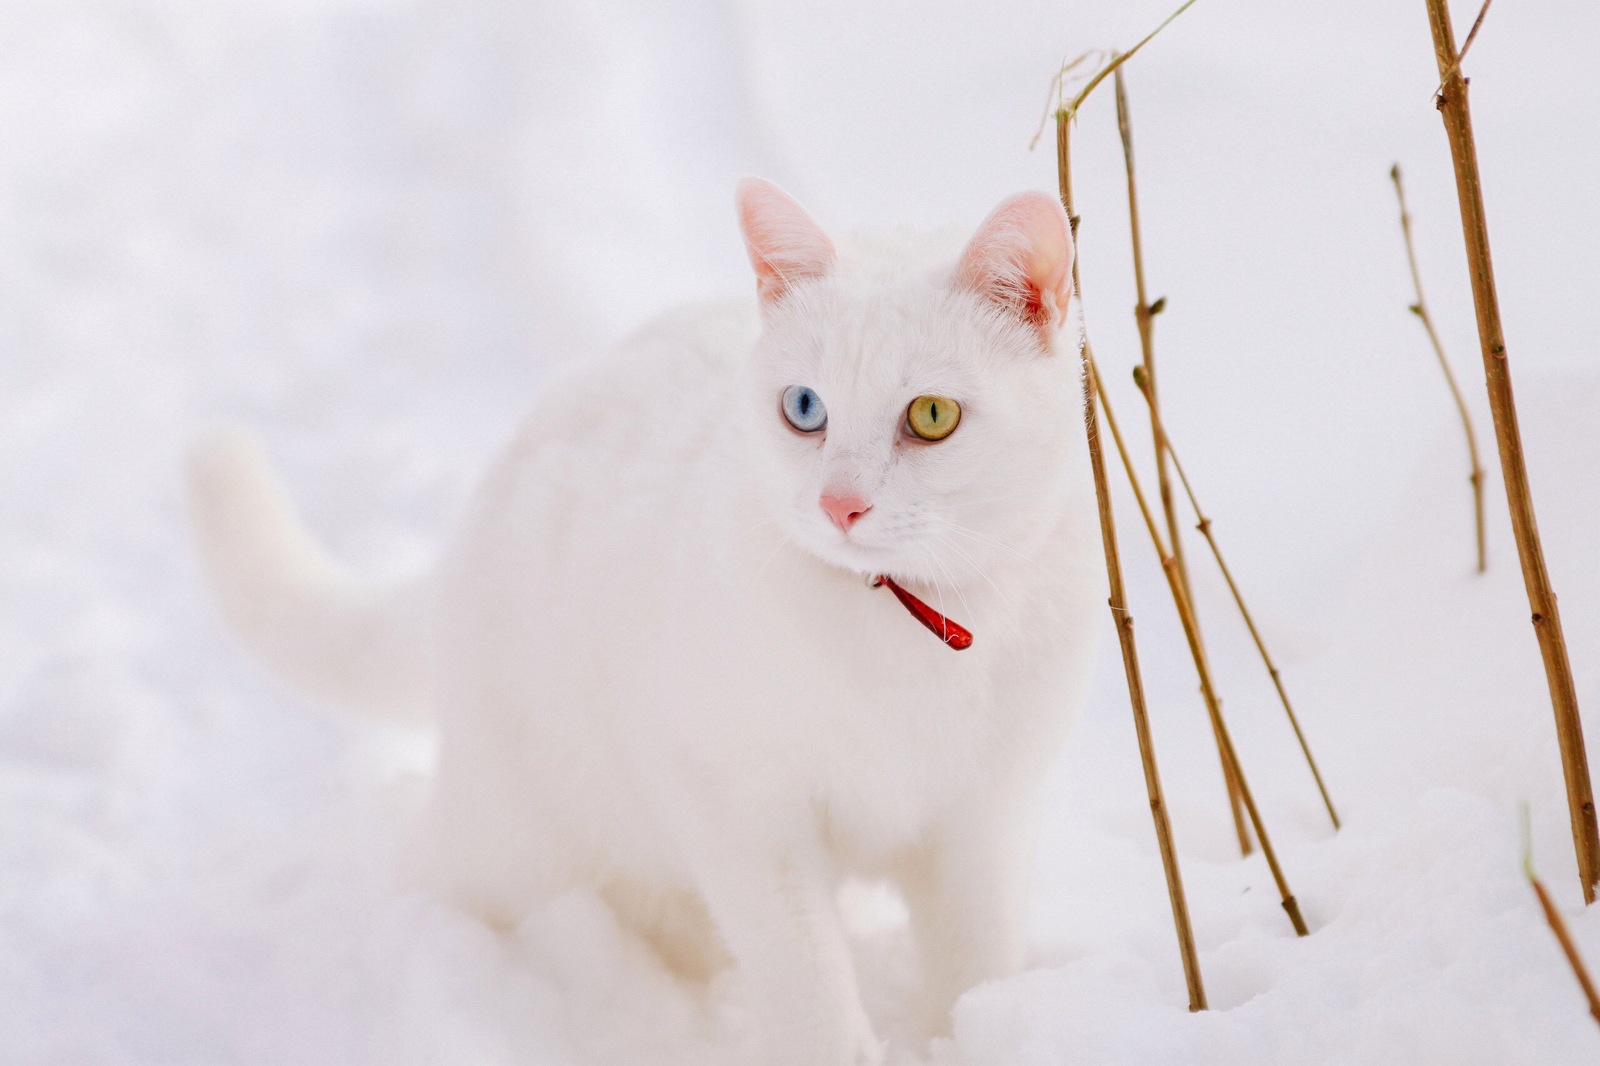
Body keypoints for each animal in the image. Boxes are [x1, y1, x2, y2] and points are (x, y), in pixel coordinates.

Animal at [187, 180, 1100, 1062]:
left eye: (932, 416)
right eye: (805, 407)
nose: (839, 504)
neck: (910, 622)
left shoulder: (984, 828)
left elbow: (976, 974)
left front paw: (978, 1033)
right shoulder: (738, 810)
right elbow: (807, 987)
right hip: (519, 838)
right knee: (435, 883)